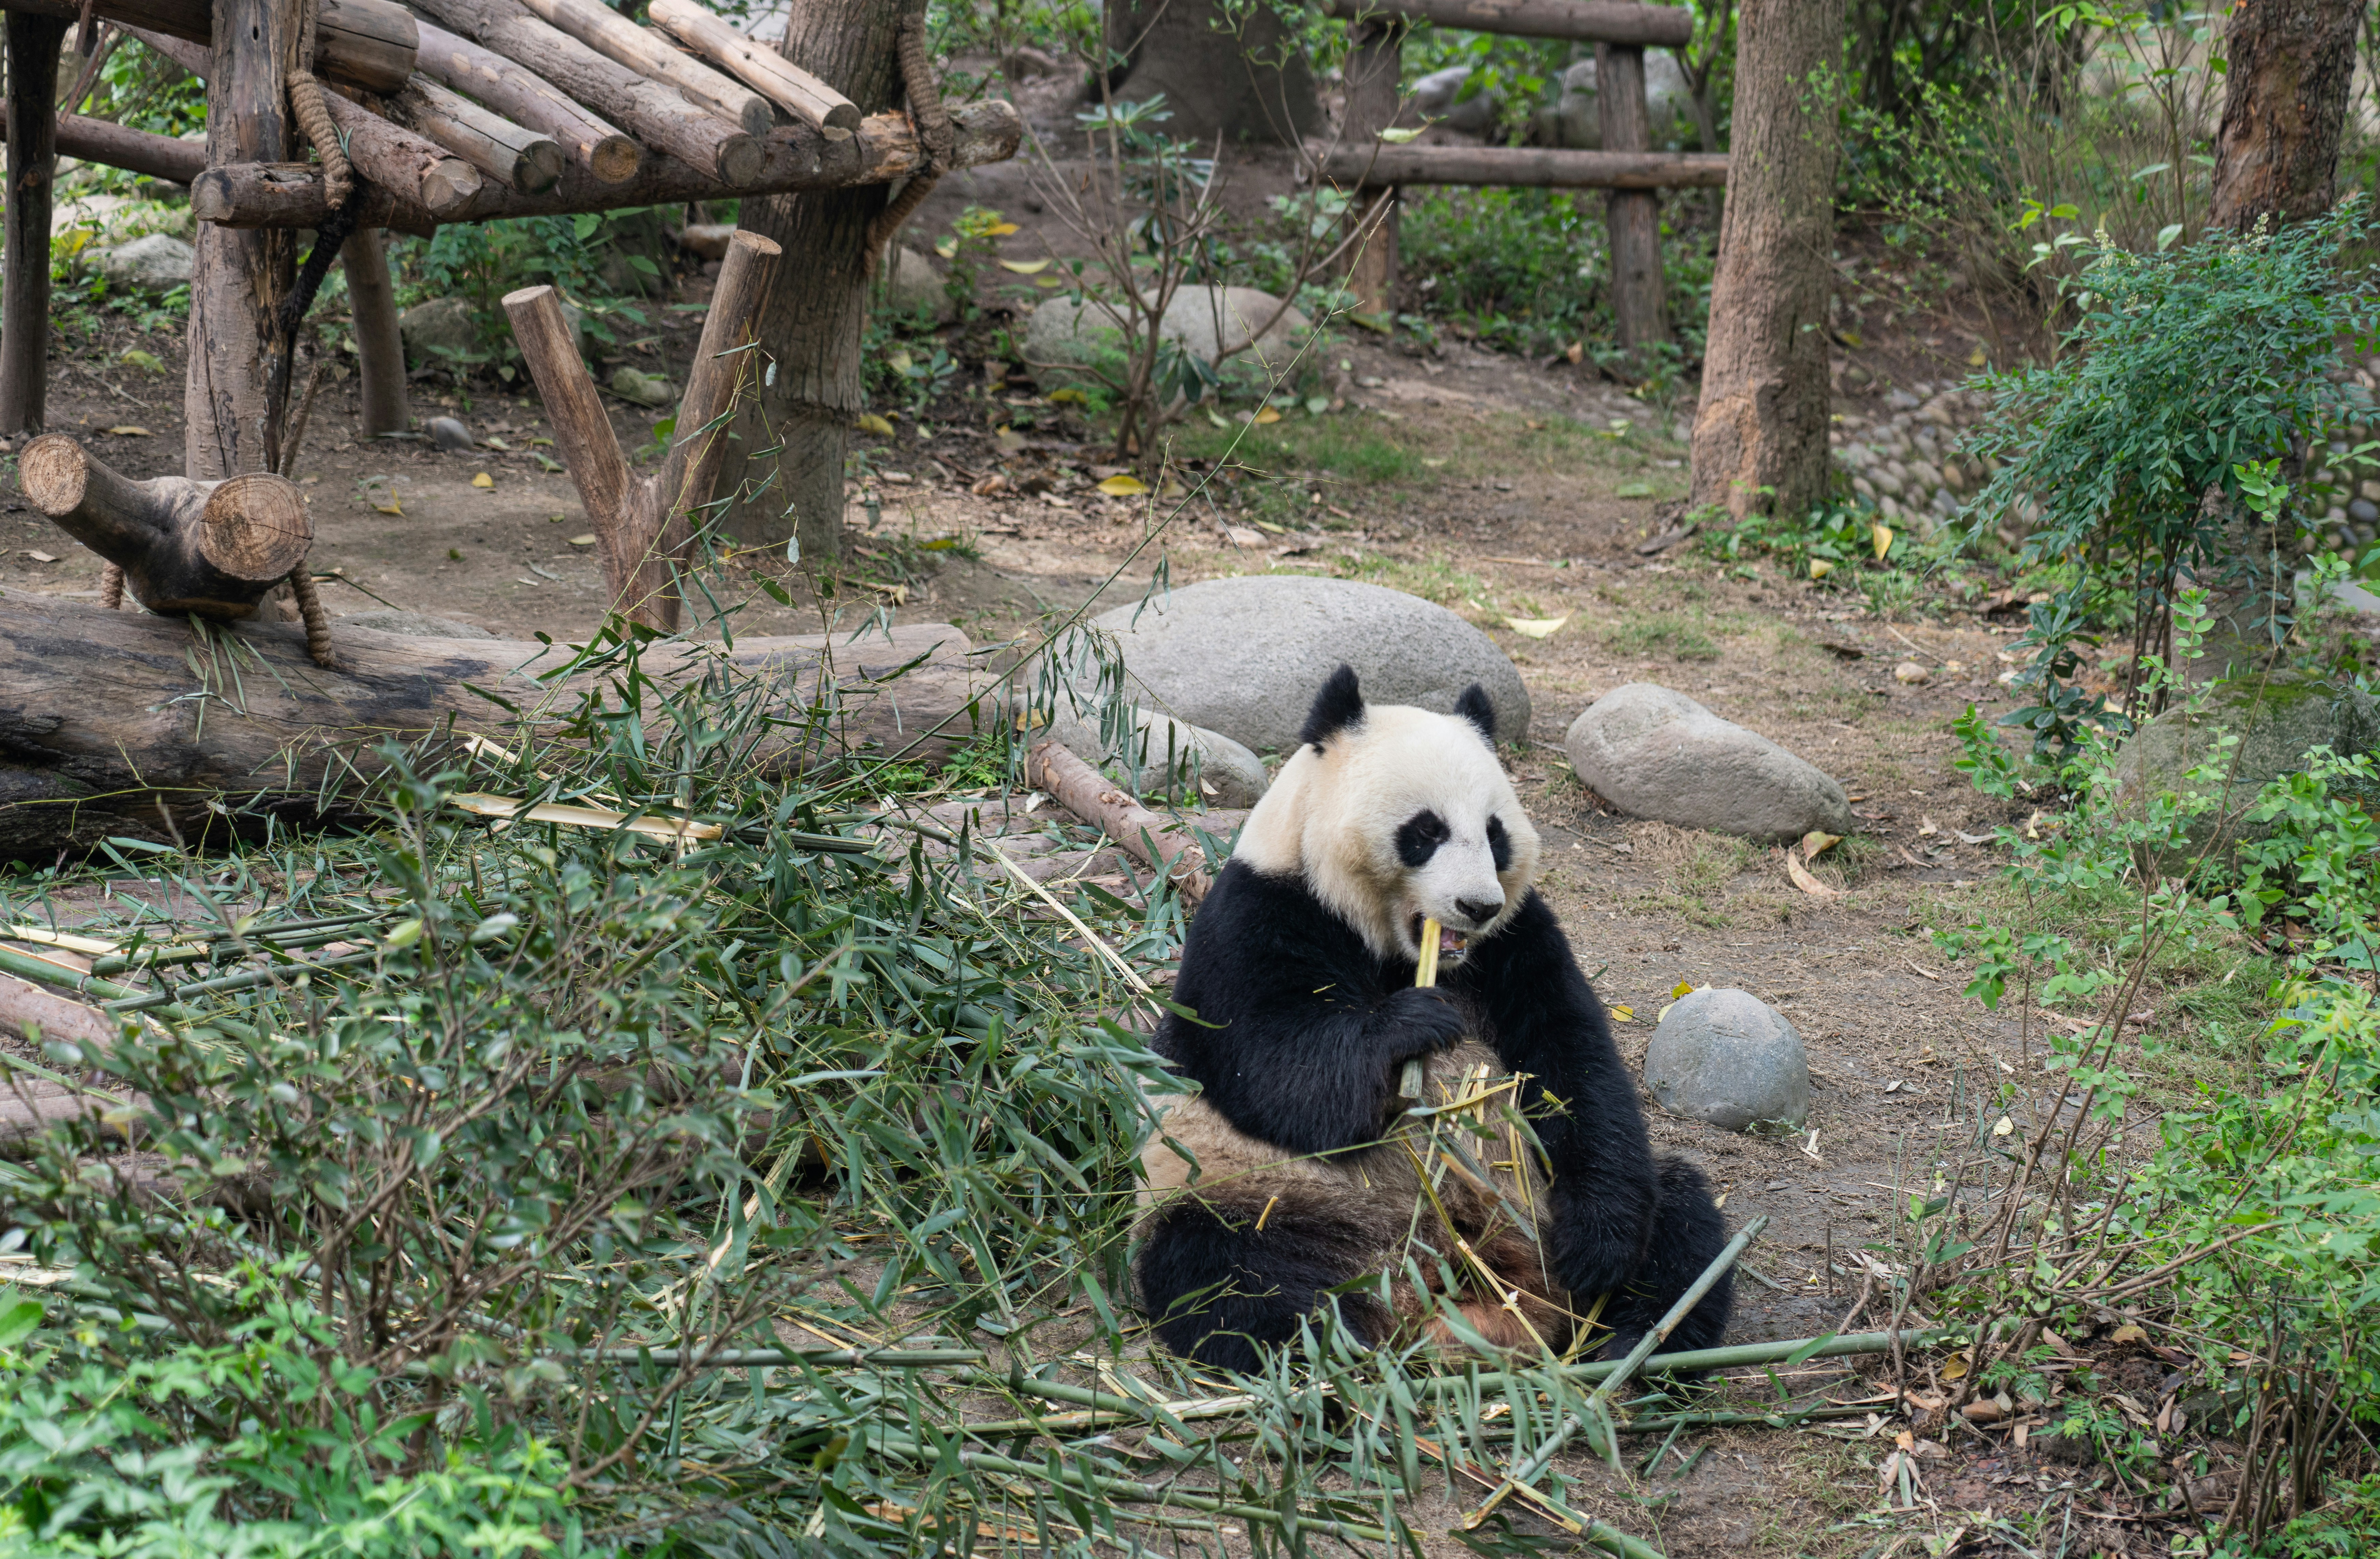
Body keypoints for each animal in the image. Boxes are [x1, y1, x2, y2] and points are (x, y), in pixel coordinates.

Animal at [1134, 665, 1733, 1373]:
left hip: (1545, 1206)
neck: (1399, 948)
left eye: (1495, 832)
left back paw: (1633, 1339)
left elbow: (1573, 1066)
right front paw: (1413, 1024)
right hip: (1256, 1193)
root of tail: (1438, 1281)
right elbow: (1274, 1070)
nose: (1476, 905)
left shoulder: (1516, 941)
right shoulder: (1256, 916)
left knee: (1681, 1215)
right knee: (1225, 1272)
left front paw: (1598, 1250)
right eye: (1426, 830)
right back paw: (1337, 1340)